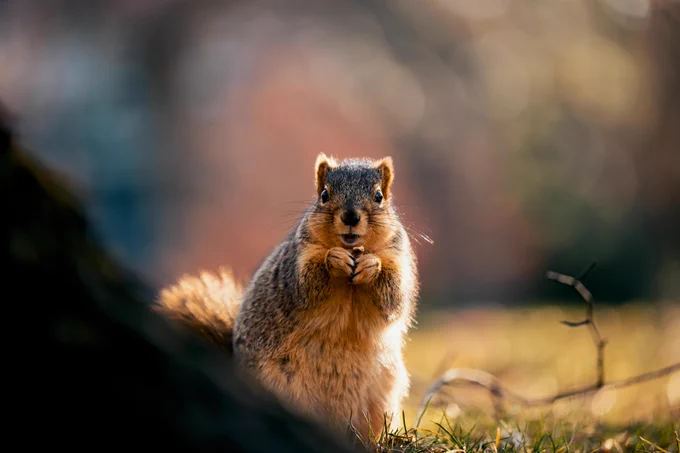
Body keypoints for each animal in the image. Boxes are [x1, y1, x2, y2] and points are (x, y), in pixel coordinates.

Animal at [156, 154, 419, 443]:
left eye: (379, 196)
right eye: (324, 195)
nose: (350, 216)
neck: (352, 251)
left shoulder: (398, 257)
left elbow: (393, 298)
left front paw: (372, 265)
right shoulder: (296, 262)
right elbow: (305, 286)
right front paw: (333, 259)